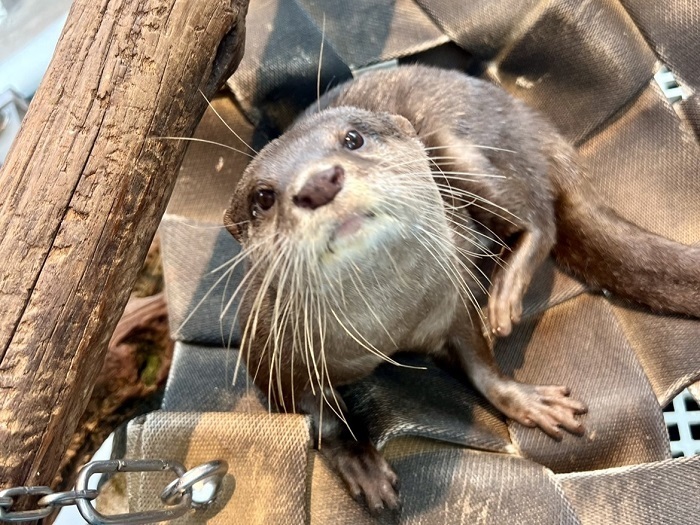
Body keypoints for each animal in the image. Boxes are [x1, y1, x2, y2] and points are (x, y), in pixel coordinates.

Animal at [223, 65, 700, 512]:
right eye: (263, 197)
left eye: (353, 139)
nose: (319, 182)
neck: (389, 327)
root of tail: (530, 121)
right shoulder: (270, 358)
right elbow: (318, 421)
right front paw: (360, 463)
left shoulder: (454, 301)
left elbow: (481, 363)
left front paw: (525, 400)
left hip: (457, 145)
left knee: (539, 217)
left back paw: (505, 295)